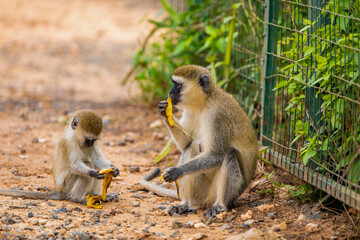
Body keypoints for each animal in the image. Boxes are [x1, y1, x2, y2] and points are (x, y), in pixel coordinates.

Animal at [139, 64, 258, 218]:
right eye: (173, 84)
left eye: (177, 85)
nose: (170, 92)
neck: (204, 102)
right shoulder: (190, 110)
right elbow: (186, 144)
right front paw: (165, 111)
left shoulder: (217, 116)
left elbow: (216, 155)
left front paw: (178, 171)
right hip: (200, 192)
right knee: (192, 146)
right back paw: (185, 204)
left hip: (218, 194)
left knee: (228, 153)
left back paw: (219, 205)